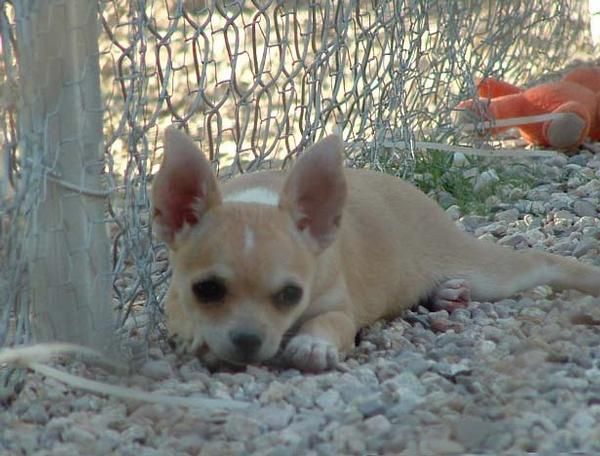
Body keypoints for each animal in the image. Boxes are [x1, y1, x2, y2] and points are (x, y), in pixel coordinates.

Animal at [152, 126, 600, 372]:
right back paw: (445, 293)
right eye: (207, 290)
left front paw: (312, 345)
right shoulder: (174, 302)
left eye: (290, 295)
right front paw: (201, 337)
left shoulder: (338, 309)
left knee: (540, 262)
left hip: (489, 272)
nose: (247, 340)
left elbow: (328, 324)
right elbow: (184, 319)